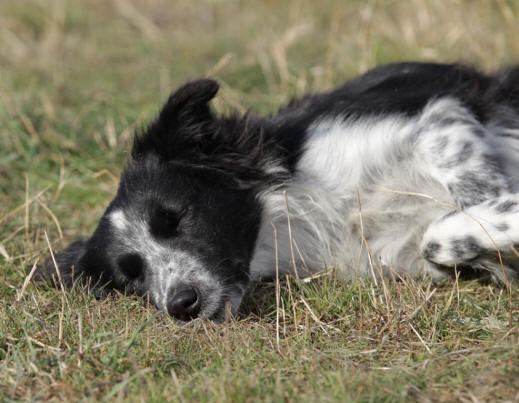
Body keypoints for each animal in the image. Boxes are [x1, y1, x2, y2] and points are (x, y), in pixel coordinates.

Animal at [35, 62, 519, 322]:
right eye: (131, 276)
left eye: (174, 218)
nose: (181, 305)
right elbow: (435, 242)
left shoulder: (440, 115)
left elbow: (463, 200)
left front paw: (502, 210)